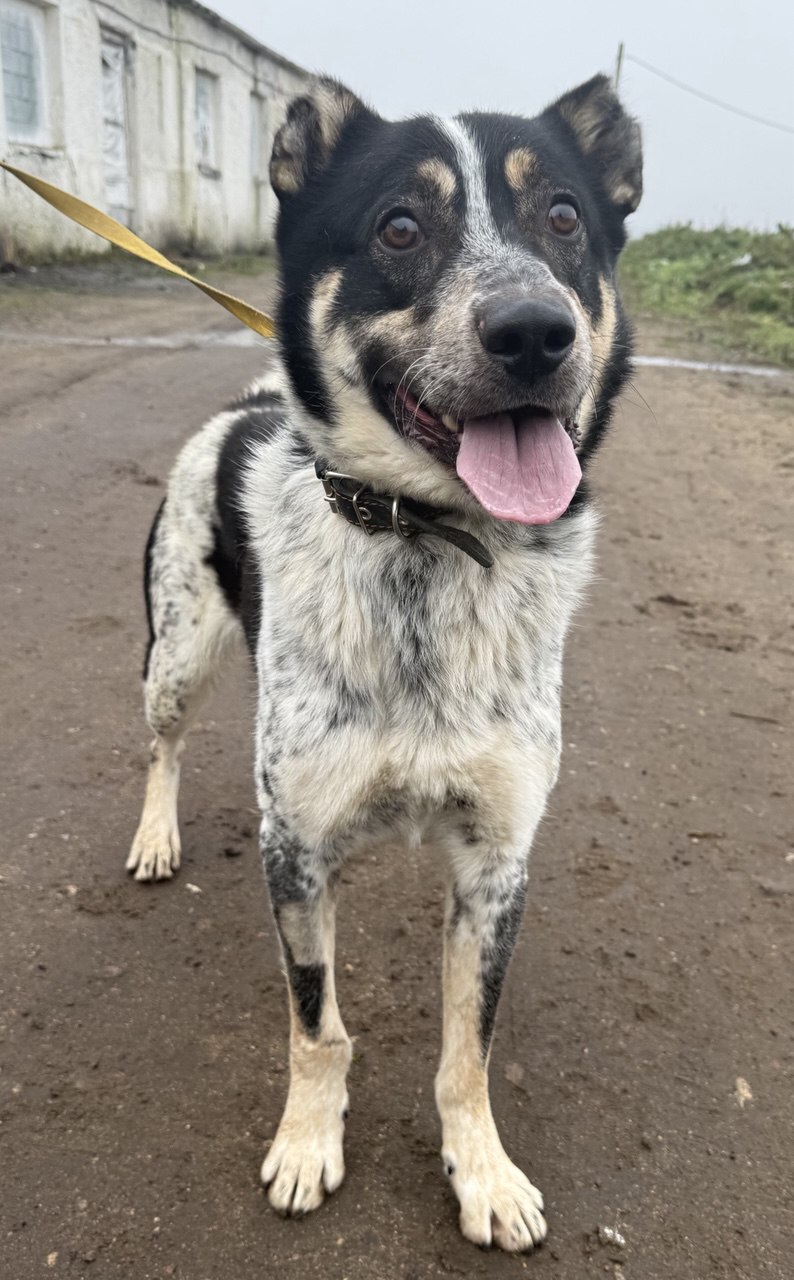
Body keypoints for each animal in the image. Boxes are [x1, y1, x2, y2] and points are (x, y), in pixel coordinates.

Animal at [126, 73, 642, 1252]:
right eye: (399, 227)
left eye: (564, 218)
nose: (535, 330)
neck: (428, 541)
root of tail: (246, 404)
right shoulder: (298, 846)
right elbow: (318, 1024)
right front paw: (308, 1142)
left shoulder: (497, 861)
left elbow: (468, 1048)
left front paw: (483, 1171)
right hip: (178, 649)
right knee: (163, 744)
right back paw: (155, 833)